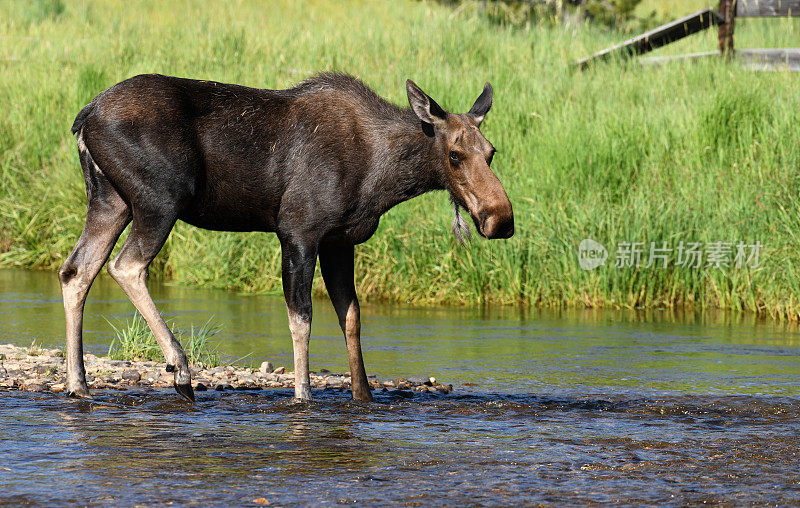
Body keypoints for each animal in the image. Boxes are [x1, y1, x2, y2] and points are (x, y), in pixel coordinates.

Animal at [59, 72, 516, 404]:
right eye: (454, 155)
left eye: (492, 152)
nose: (501, 220)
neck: (385, 177)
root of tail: (83, 117)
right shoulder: (298, 230)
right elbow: (302, 318)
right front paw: (303, 396)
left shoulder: (339, 241)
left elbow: (351, 316)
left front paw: (363, 395)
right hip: (160, 200)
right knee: (126, 266)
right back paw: (180, 371)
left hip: (110, 201)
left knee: (76, 271)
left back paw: (79, 384)